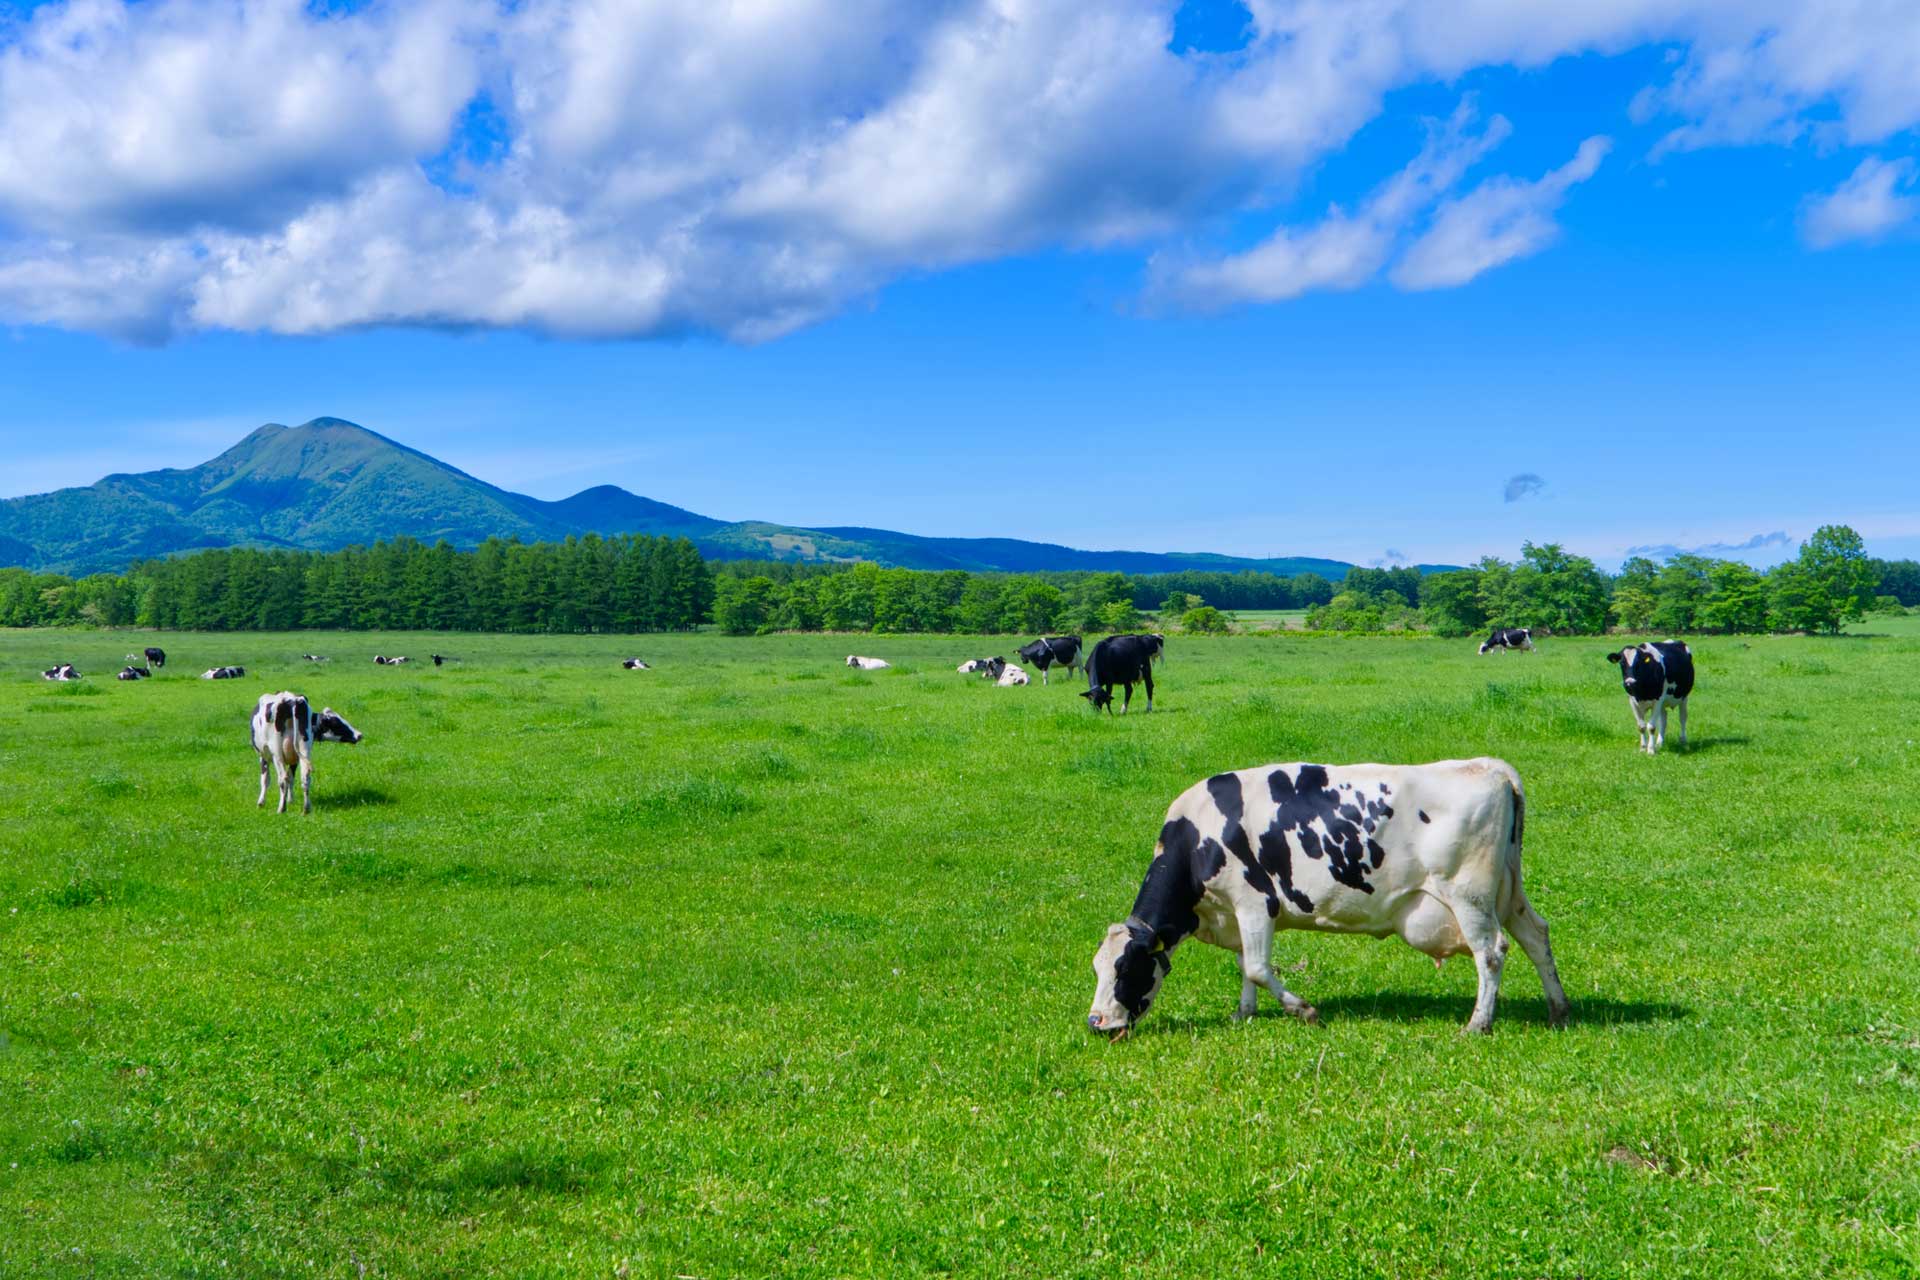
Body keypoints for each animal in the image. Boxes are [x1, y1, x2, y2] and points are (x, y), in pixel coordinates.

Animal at [1090, 759, 1566, 1043]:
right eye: (1097, 967)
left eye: (1125, 968)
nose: (1096, 1022)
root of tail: (1488, 767)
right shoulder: (1236, 914)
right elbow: (1246, 966)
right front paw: (1244, 1013)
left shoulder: (1254, 903)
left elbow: (1257, 967)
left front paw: (1305, 1011)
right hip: (1508, 892)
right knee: (1537, 937)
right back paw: (1558, 1010)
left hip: (1469, 895)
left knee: (1491, 952)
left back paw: (1478, 1023)